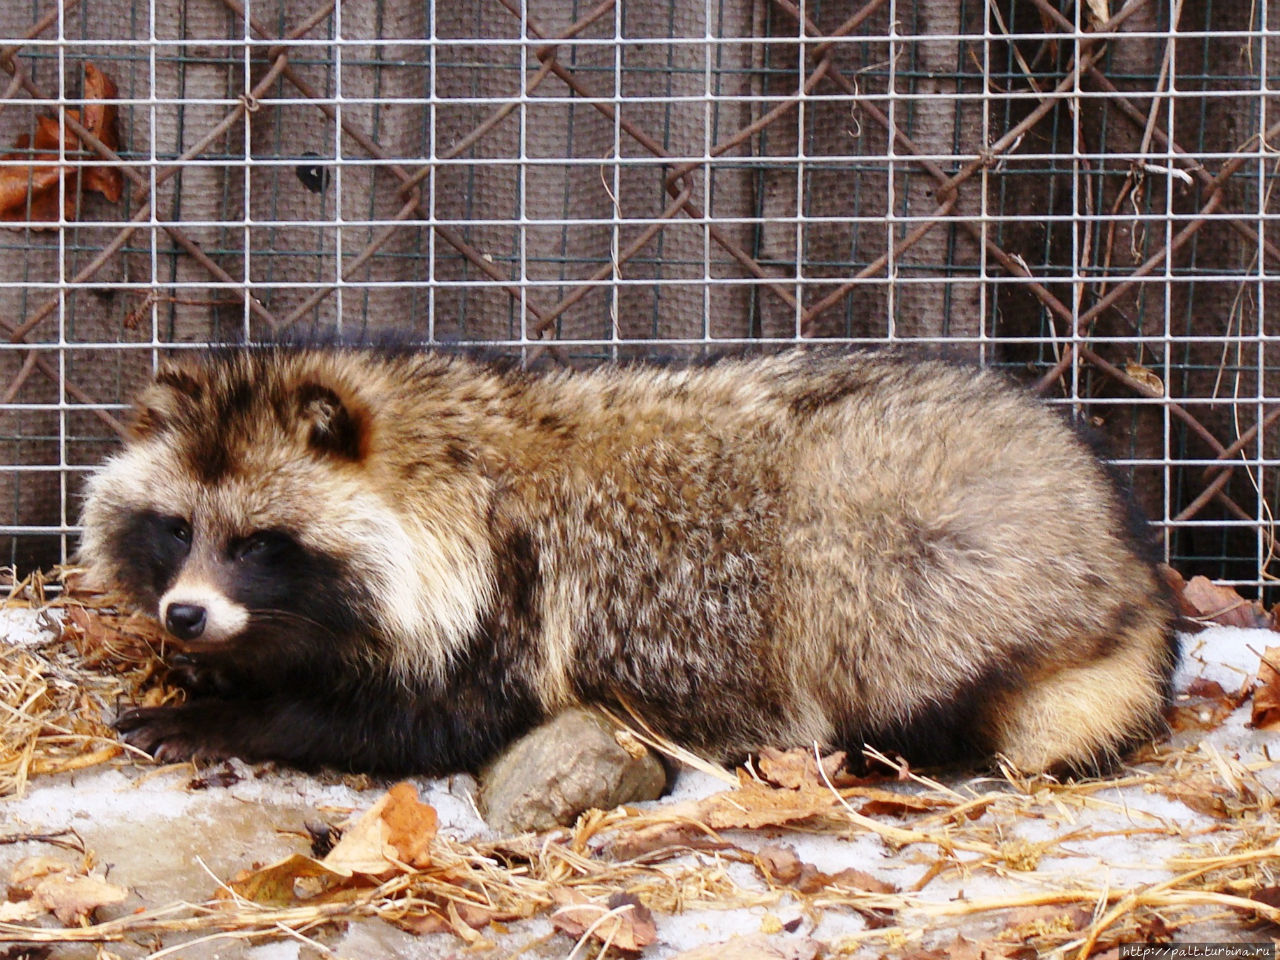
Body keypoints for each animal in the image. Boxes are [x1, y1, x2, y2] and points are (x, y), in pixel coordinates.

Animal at [80, 350, 1177, 778]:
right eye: (175, 530)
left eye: (260, 544)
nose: (184, 615)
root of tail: (1130, 568)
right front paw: (224, 677)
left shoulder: (507, 612)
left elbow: (410, 727)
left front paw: (235, 716)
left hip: (897, 542)